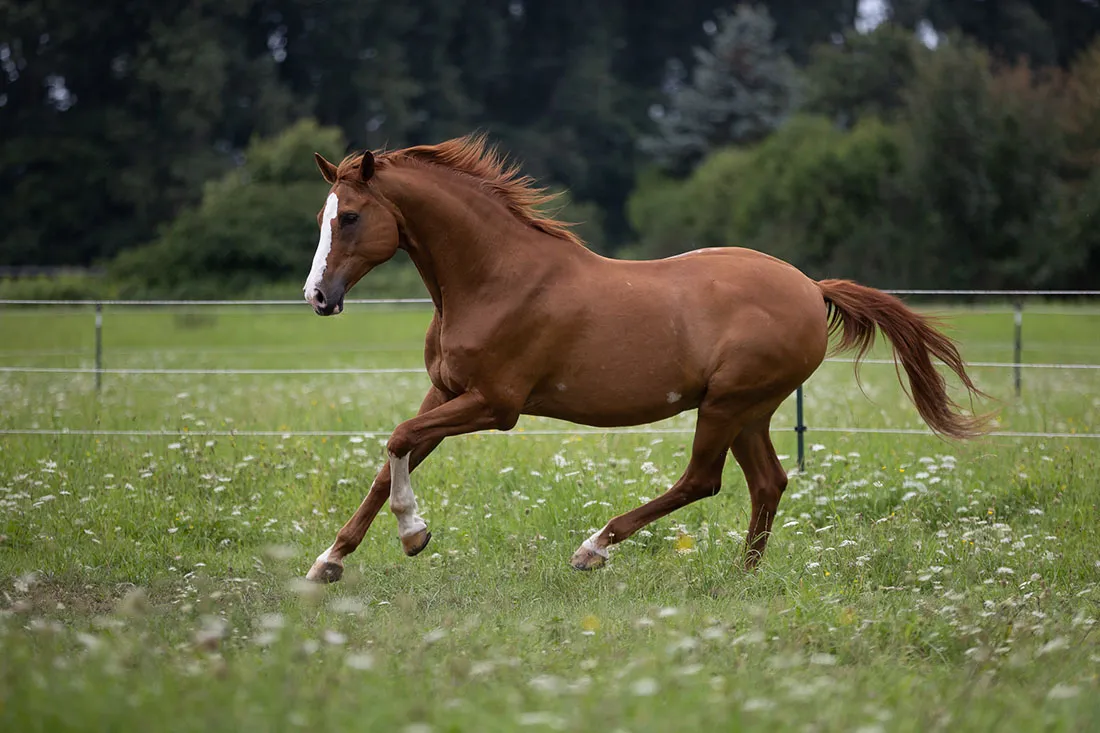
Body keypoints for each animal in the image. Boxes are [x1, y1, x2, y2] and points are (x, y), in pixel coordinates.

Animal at [303, 132, 990, 581]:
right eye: (322, 216)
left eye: (352, 217)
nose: (317, 297)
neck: (495, 279)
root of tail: (810, 287)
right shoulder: (446, 392)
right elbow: (392, 456)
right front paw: (328, 562)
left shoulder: (496, 406)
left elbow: (397, 438)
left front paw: (413, 535)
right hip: (750, 410)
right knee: (767, 481)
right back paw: (742, 577)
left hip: (728, 404)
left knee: (703, 480)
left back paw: (594, 548)